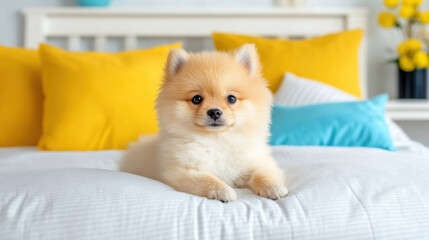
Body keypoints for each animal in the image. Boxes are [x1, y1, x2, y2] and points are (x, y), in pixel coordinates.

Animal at [120, 44, 288, 202]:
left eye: (231, 98)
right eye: (197, 99)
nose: (214, 112)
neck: (217, 140)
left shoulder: (257, 162)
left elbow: (263, 174)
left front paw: (274, 187)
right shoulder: (179, 171)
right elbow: (207, 179)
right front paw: (223, 190)